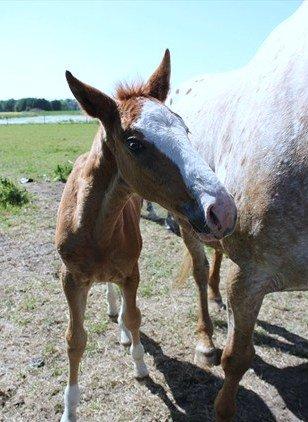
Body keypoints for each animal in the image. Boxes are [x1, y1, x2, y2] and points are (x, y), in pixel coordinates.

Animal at [56, 51, 236, 420]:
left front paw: (139, 365)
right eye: (134, 143)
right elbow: (74, 340)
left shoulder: (131, 271)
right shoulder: (70, 278)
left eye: (185, 129)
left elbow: (135, 315)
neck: (95, 230)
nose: (222, 210)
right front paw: (69, 409)